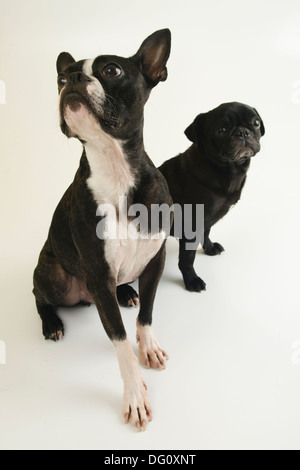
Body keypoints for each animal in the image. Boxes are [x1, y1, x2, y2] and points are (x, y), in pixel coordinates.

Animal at [32, 30, 172, 434]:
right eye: (61, 79)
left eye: (111, 70)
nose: (73, 81)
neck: (116, 169)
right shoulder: (97, 273)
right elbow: (121, 342)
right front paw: (135, 396)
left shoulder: (155, 260)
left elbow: (147, 315)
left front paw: (148, 346)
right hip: (55, 277)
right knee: (39, 294)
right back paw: (51, 323)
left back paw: (126, 292)